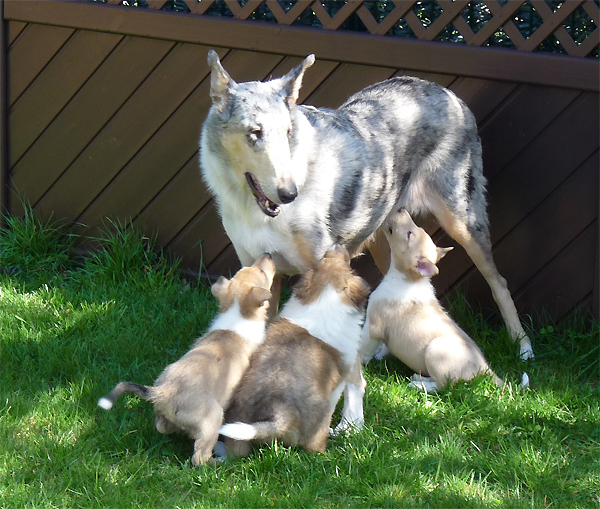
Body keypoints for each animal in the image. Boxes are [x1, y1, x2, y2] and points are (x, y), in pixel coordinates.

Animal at [97, 254, 276, 464]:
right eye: (262, 272)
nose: (268, 254)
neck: (237, 311)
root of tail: (164, 391)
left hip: (164, 413)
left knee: (162, 427)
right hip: (214, 418)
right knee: (199, 456)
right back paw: (219, 463)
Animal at [216, 244, 370, 454]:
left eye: (322, 260)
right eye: (349, 267)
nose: (337, 245)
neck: (325, 296)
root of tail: (282, 413)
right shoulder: (339, 382)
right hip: (319, 422)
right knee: (315, 443)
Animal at [358, 208, 504, 390]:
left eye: (409, 235)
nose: (400, 209)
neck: (409, 278)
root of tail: (485, 369)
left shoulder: (374, 326)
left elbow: (363, 346)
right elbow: (384, 347)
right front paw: (379, 356)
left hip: (436, 352)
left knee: (443, 386)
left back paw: (418, 385)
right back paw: (420, 378)